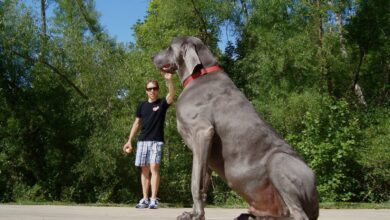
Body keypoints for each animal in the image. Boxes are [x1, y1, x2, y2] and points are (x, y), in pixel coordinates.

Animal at [152, 36, 320, 220]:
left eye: (169, 47)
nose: (152, 57)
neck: (200, 75)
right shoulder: (205, 149)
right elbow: (202, 183)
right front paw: (195, 213)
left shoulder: (203, 132)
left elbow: (195, 183)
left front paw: (196, 215)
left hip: (279, 161)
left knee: (299, 213)